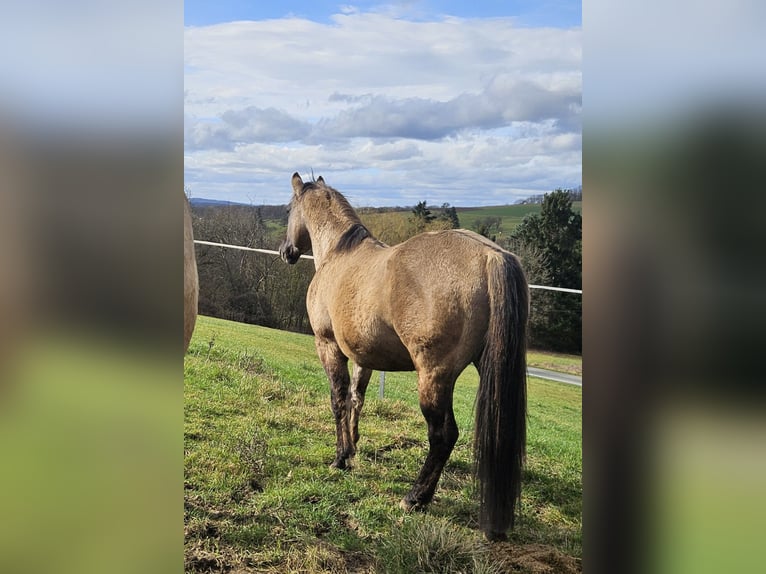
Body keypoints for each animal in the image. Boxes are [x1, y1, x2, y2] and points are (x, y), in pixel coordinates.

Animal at [279, 173, 529, 540]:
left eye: (288, 209)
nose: (287, 252)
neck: (339, 254)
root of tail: (491, 255)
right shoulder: (363, 356)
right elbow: (356, 398)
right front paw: (352, 449)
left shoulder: (328, 346)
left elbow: (338, 400)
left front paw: (340, 459)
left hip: (433, 377)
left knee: (443, 435)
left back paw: (415, 497)